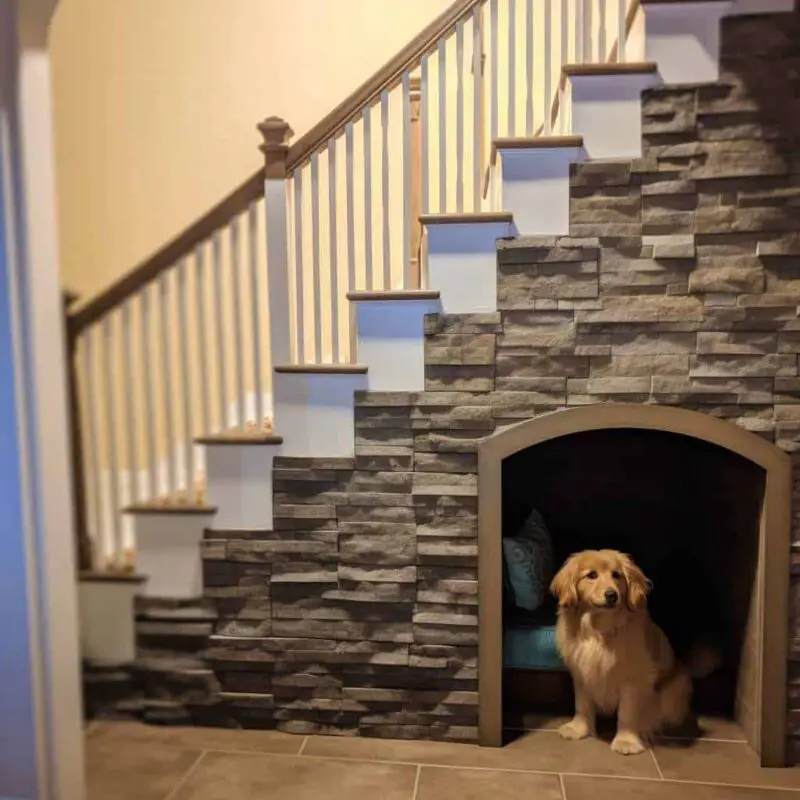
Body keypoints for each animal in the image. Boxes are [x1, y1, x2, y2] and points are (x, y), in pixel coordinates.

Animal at [552, 552, 700, 756]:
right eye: (591, 575)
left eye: (617, 575)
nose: (611, 595)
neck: (601, 629)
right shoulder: (582, 673)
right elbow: (581, 704)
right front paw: (578, 728)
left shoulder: (632, 680)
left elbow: (627, 713)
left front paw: (626, 741)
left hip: (676, 687)